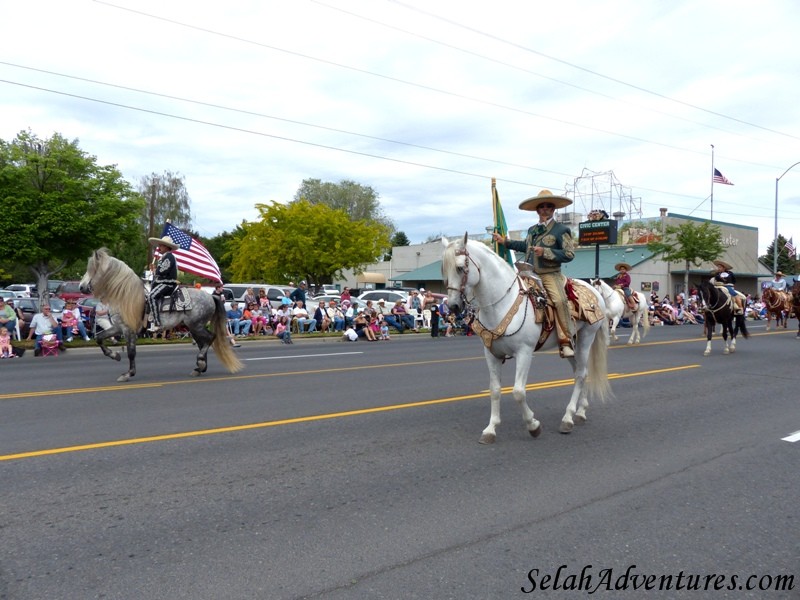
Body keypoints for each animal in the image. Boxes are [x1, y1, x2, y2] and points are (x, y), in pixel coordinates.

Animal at [440, 237, 608, 442]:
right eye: (443, 269)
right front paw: (490, 429)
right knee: (580, 373)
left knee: (581, 374)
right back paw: (580, 412)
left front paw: (533, 425)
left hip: (586, 339)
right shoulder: (491, 354)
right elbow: (494, 390)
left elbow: (518, 392)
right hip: (570, 346)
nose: (453, 306)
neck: (501, 304)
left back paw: (568, 418)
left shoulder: (524, 352)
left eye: (459, 268)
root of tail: (595, 291)